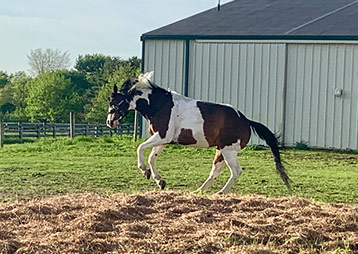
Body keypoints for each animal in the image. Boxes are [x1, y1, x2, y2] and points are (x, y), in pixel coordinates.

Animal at [106, 70, 290, 193]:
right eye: (109, 100)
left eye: (115, 101)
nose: (109, 122)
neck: (160, 105)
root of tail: (246, 121)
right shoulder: (163, 141)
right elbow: (152, 158)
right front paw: (160, 181)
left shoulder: (162, 136)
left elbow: (140, 149)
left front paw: (145, 171)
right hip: (221, 150)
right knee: (215, 172)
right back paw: (199, 191)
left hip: (229, 151)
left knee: (236, 171)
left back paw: (220, 193)